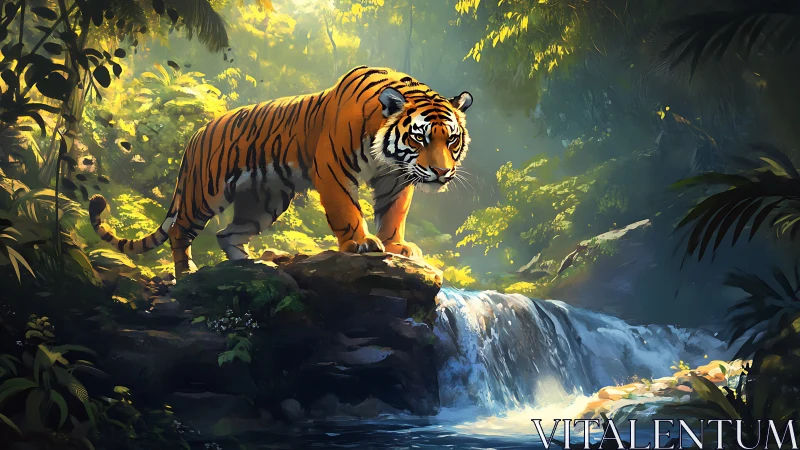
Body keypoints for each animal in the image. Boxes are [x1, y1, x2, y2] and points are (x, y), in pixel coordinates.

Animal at [88, 66, 474, 278]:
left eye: (452, 139)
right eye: (420, 137)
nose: (441, 172)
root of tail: (196, 134)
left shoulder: (396, 177)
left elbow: (394, 213)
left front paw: (396, 246)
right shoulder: (333, 170)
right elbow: (348, 210)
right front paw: (362, 243)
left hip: (264, 201)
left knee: (227, 234)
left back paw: (249, 267)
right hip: (205, 193)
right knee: (180, 230)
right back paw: (186, 273)